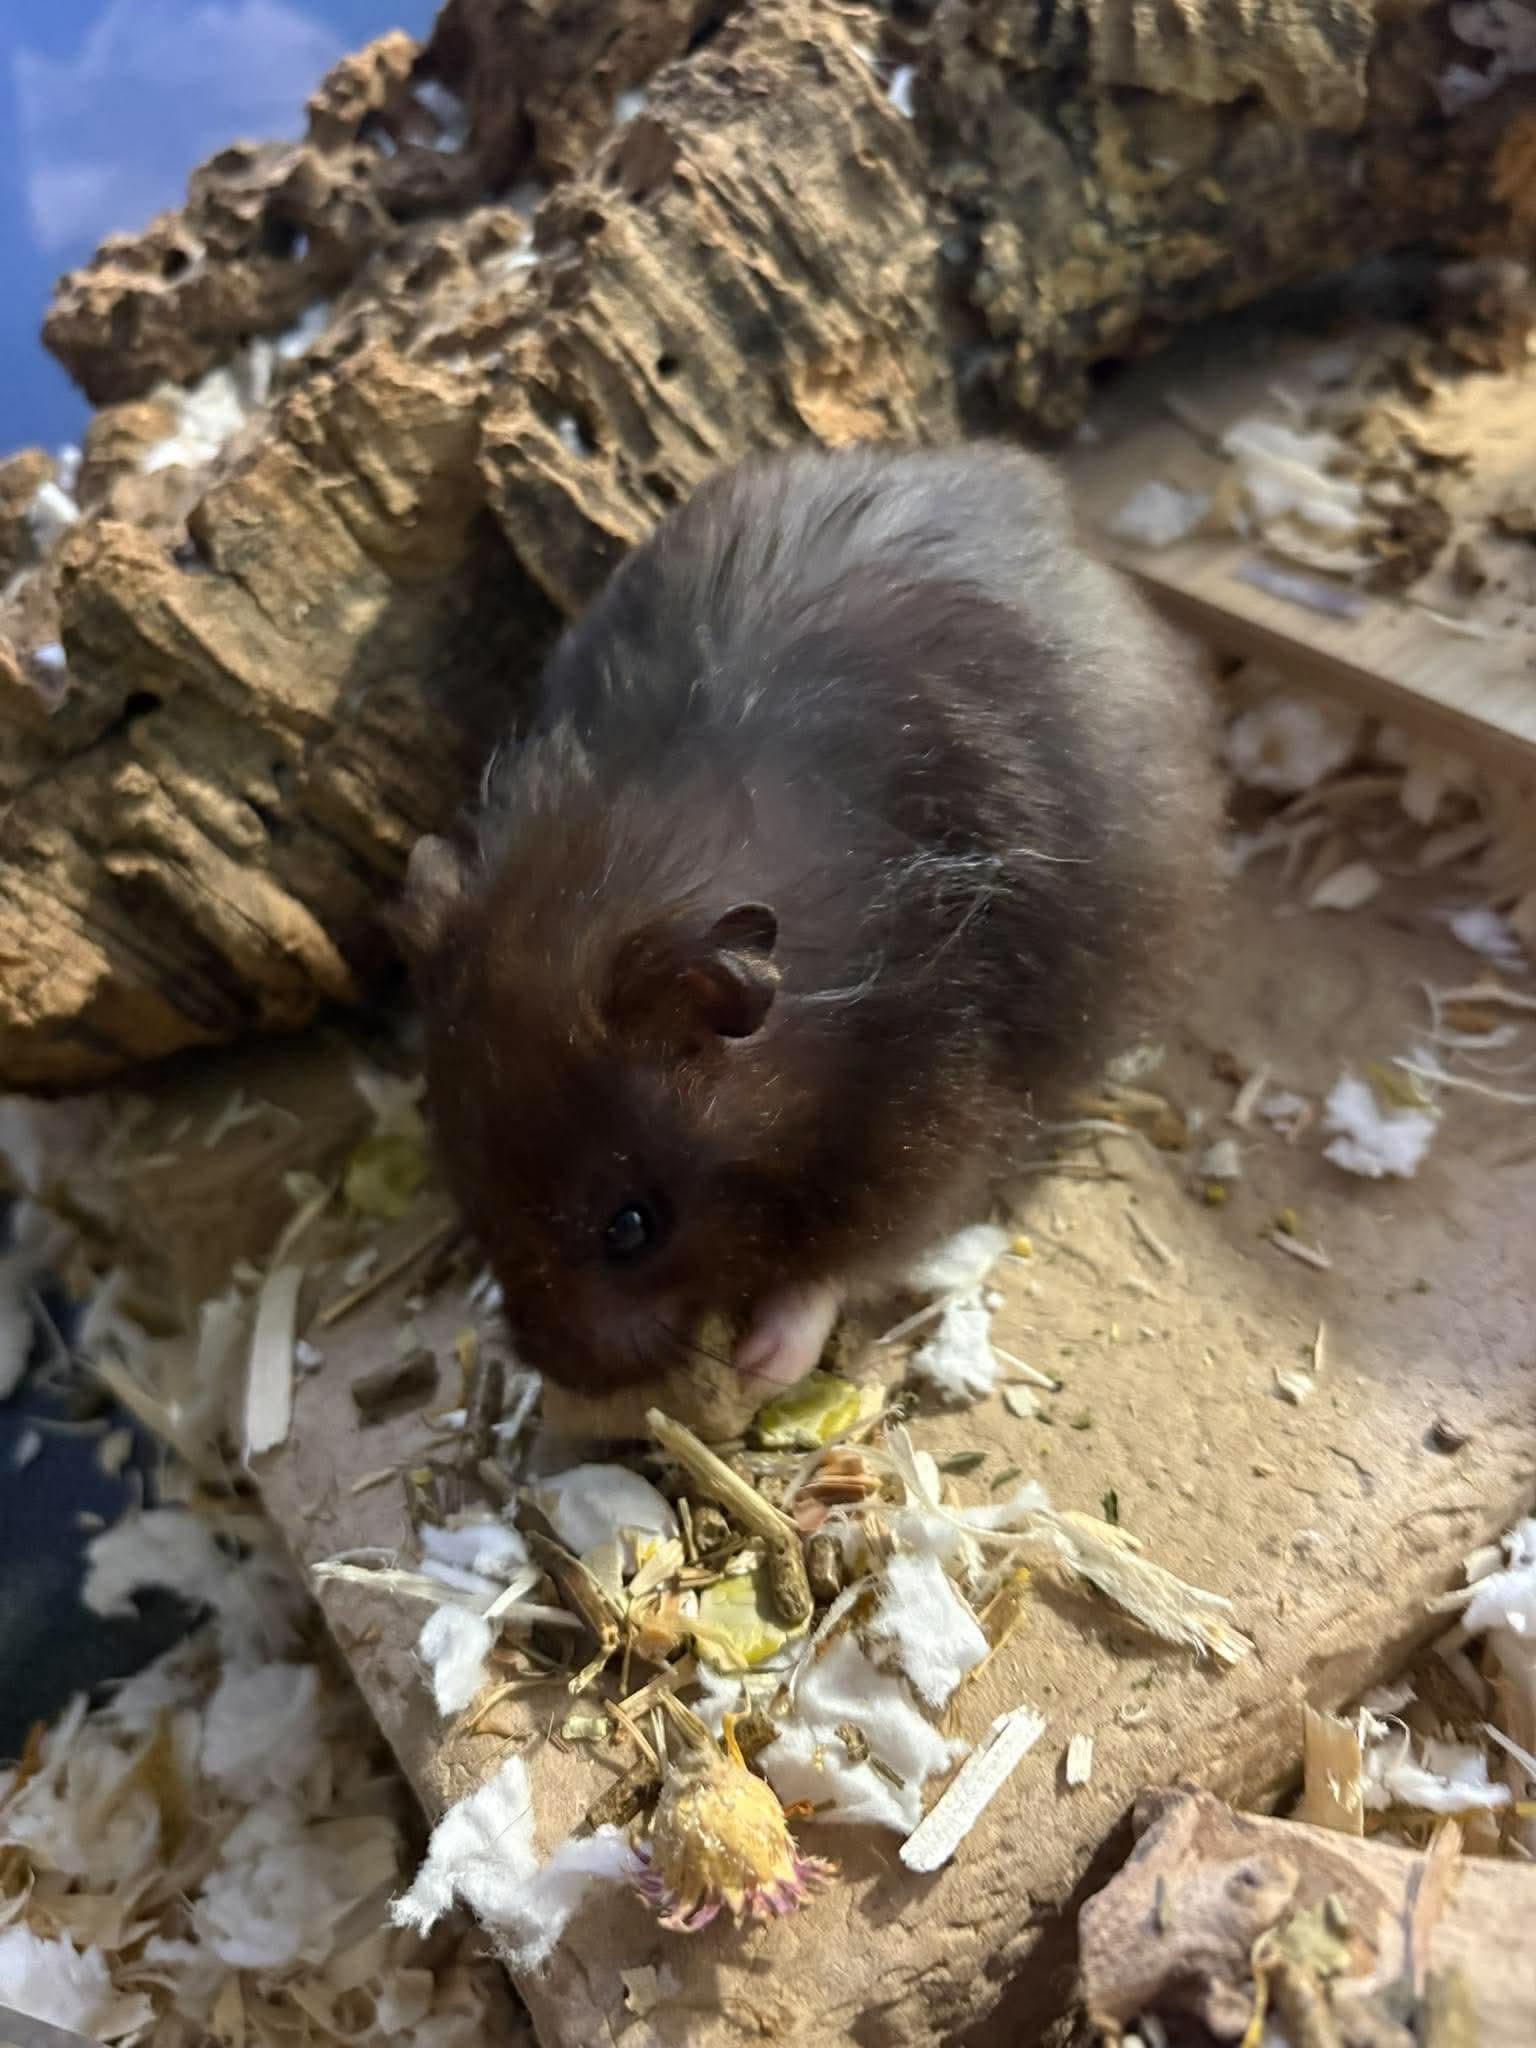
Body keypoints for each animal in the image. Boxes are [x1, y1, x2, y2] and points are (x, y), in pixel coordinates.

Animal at [398, 443, 1222, 1398]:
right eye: (466, 1183)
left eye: (632, 1227)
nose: (565, 1375)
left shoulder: (932, 1121)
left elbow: (839, 1267)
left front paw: (762, 1367)